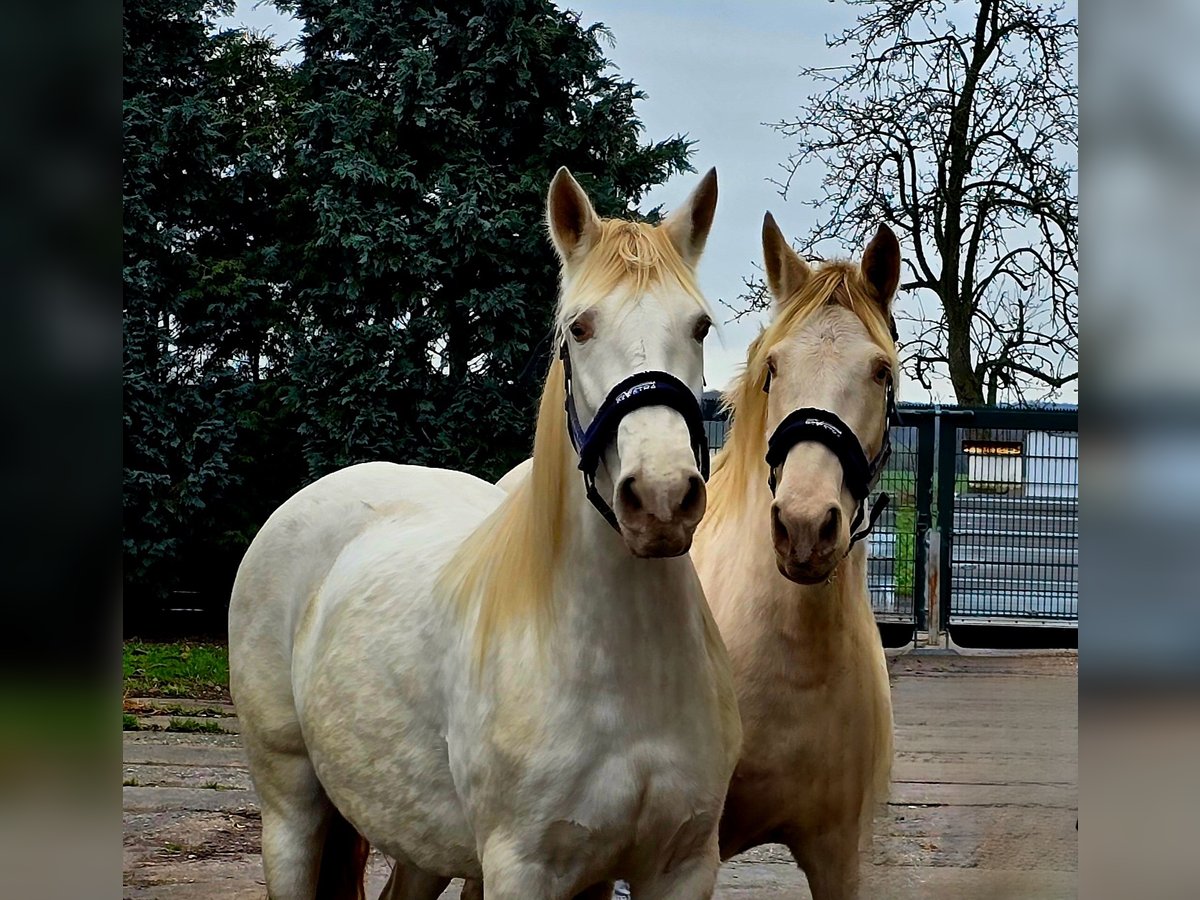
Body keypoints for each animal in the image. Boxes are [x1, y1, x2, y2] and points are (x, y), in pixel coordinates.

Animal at [225, 170, 739, 900]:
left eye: (699, 326)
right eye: (580, 327)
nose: (662, 498)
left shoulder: (681, 867)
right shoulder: (521, 868)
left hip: (421, 836)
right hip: (291, 808)